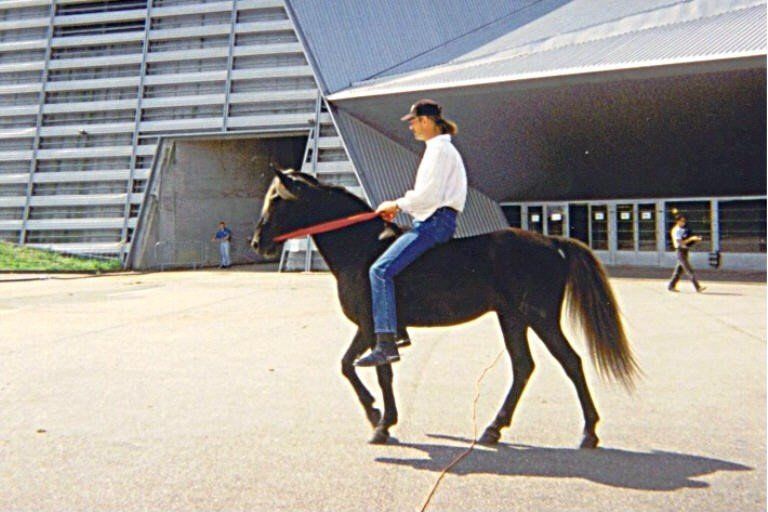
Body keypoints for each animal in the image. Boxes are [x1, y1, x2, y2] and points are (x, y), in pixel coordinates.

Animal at [251, 168, 639, 448]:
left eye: (277, 199)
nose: (257, 242)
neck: (361, 249)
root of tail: (552, 241)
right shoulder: (372, 330)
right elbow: (351, 366)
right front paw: (379, 415)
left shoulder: (373, 327)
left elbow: (367, 369)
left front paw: (380, 420)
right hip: (513, 318)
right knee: (523, 367)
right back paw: (494, 428)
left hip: (540, 319)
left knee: (570, 362)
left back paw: (588, 432)